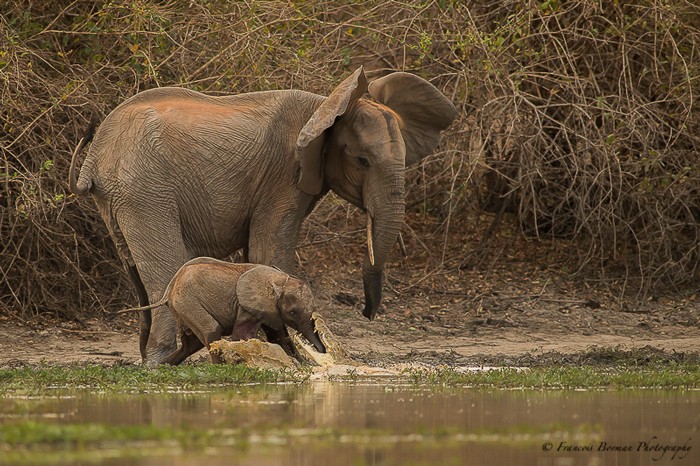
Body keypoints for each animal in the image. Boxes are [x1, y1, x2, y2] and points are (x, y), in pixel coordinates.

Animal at [117, 258, 328, 364]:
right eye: (292, 313)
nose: (324, 352)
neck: (278, 279)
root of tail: (169, 289)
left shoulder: (268, 309)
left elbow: (279, 335)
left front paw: (303, 365)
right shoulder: (248, 306)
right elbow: (243, 335)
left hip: (182, 306)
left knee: (191, 343)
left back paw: (159, 368)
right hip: (188, 302)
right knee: (211, 330)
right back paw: (219, 367)